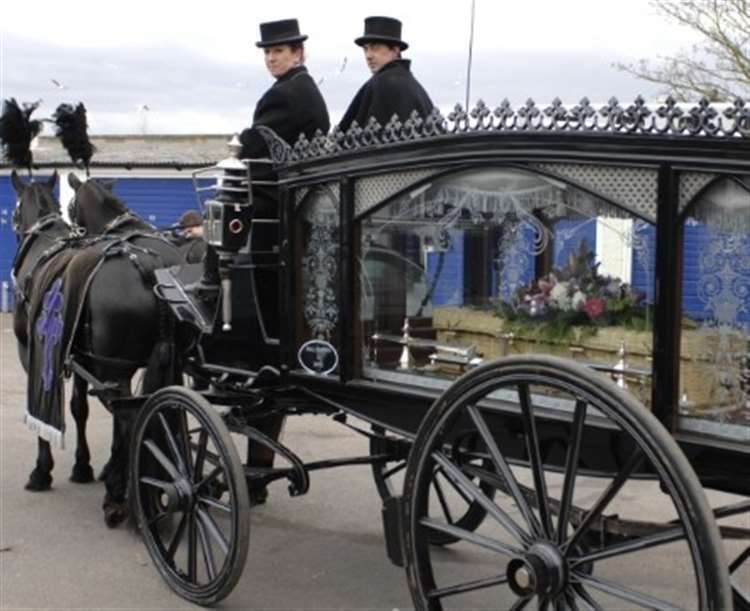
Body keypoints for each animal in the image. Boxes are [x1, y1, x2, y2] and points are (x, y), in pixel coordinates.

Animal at [12, 171, 183, 524]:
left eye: (72, 207)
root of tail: (151, 268)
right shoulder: (79, 356)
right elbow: (80, 407)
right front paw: (83, 465)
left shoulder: (33, 353)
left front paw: (41, 471)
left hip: (113, 370)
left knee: (131, 419)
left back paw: (119, 496)